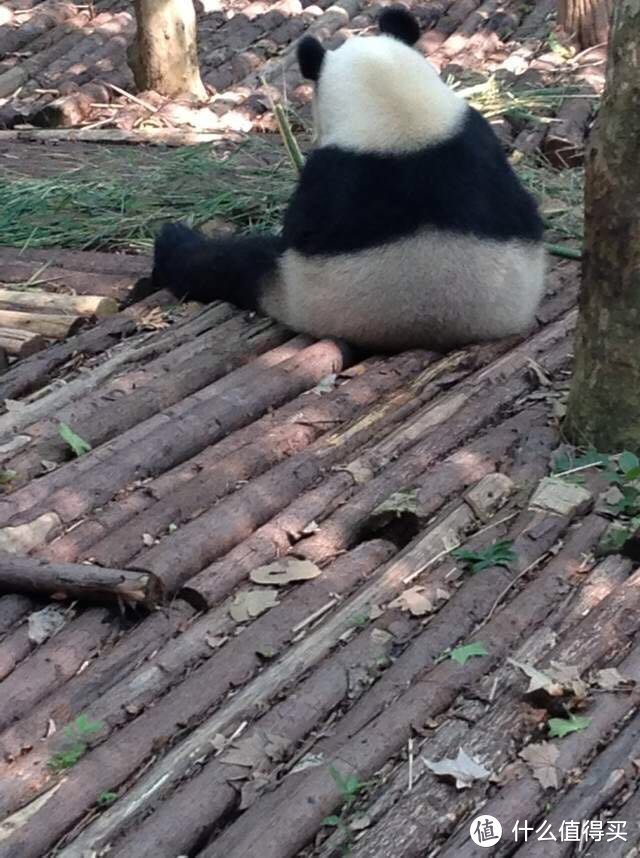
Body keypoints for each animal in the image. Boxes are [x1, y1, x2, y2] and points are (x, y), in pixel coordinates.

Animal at [150, 5, 544, 350]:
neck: (394, 108)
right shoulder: (478, 139)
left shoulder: (327, 178)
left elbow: (300, 231)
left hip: (298, 293)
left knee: (228, 264)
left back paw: (173, 246)